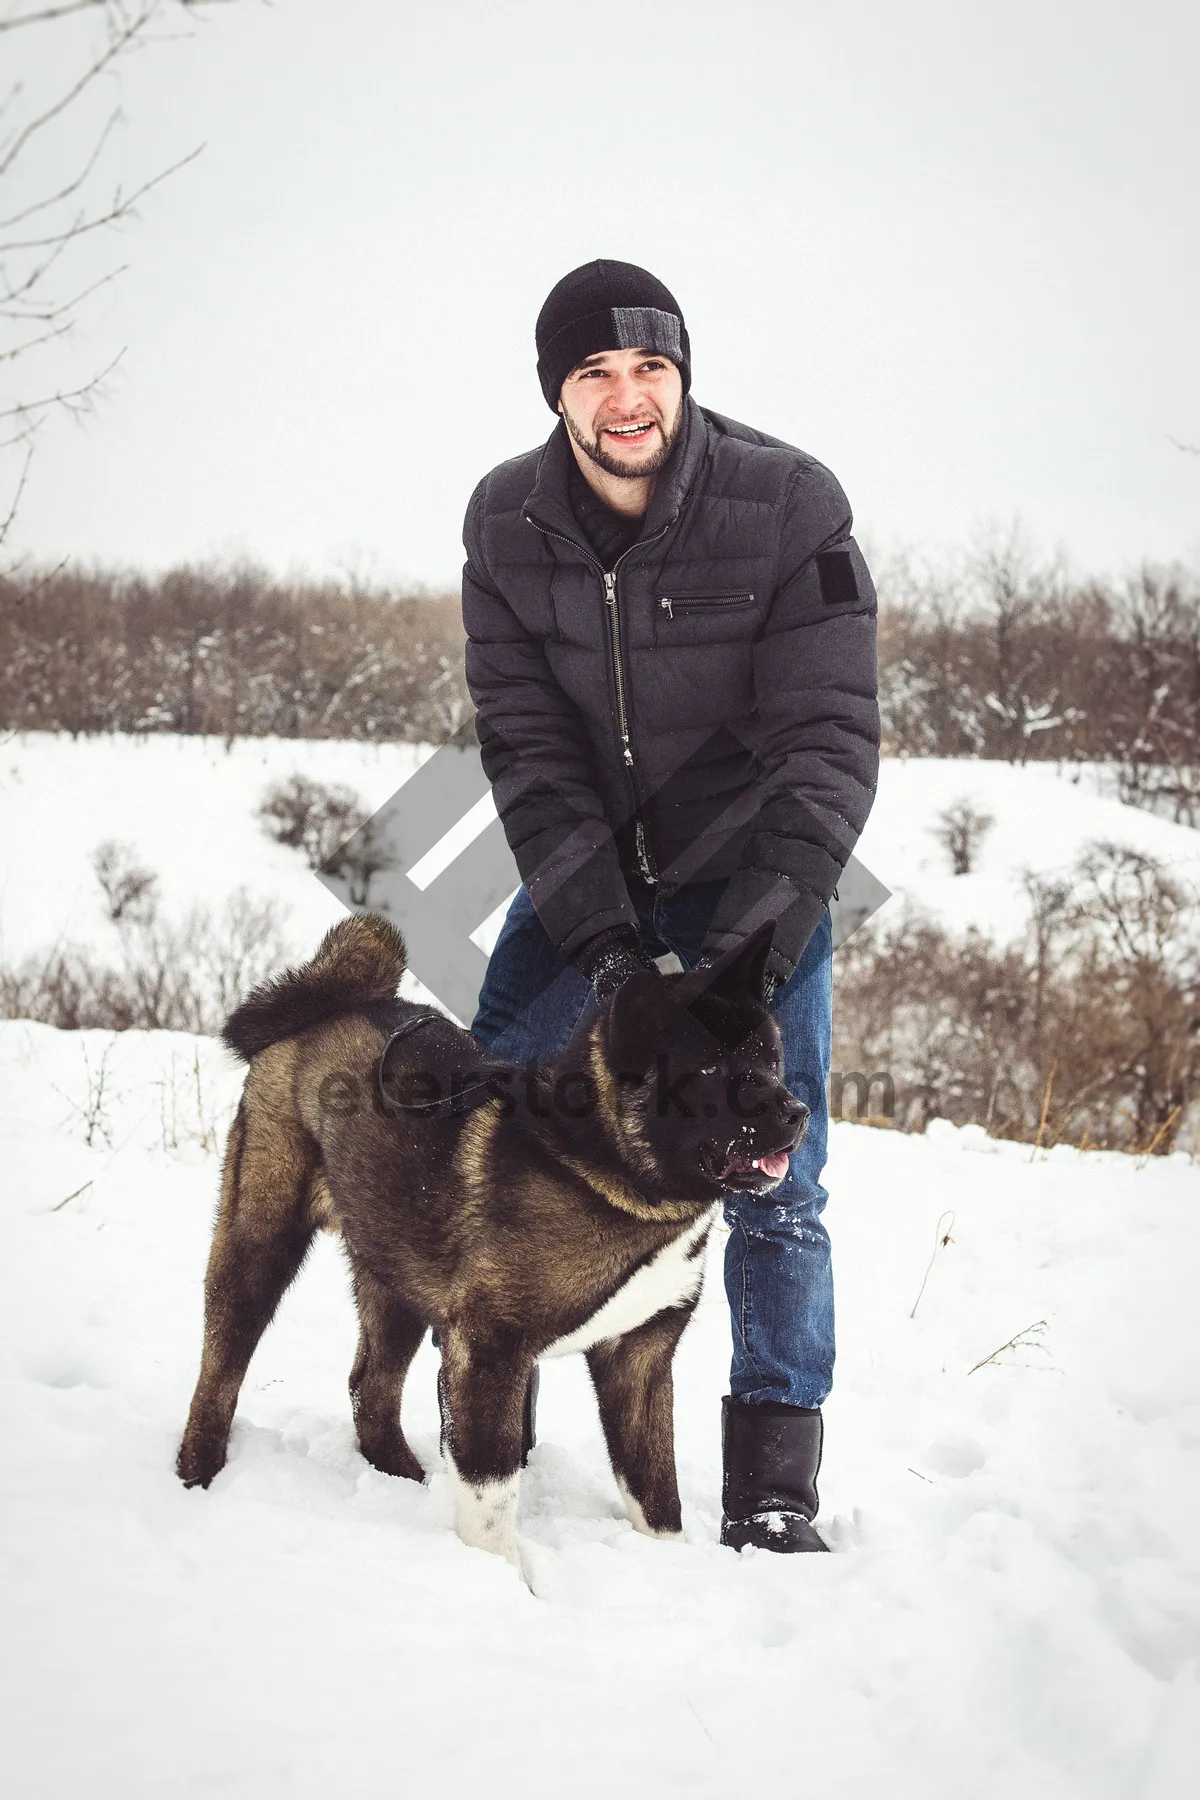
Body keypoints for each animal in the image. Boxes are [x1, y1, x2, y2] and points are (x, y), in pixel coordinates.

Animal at [176, 914, 805, 1562]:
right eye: (711, 1070)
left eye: (771, 1059)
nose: (798, 1112)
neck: (609, 1171)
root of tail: (327, 1009)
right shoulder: (489, 1351)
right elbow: (491, 1498)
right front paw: (496, 1576)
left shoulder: (640, 1361)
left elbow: (657, 1495)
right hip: (260, 1242)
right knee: (220, 1366)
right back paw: (199, 1471)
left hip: (397, 1276)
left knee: (369, 1388)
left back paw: (403, 1479)